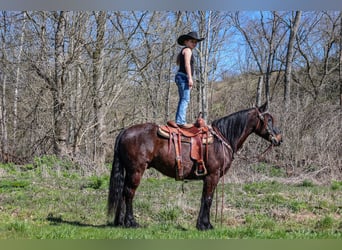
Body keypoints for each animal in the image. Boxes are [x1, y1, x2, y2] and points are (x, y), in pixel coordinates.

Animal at [108, 102, 282, 230]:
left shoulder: (208, 177)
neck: (223, 138)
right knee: (129, 193)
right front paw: (206, 225)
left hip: (129, 171)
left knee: (122, 193)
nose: (279, 139)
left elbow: (204, 199)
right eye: (269, 120)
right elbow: (208, 199)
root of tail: (124, 132)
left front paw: (202, 224)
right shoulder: (212, 176)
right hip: (136, 171)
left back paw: (120, 222)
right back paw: (131, 222)